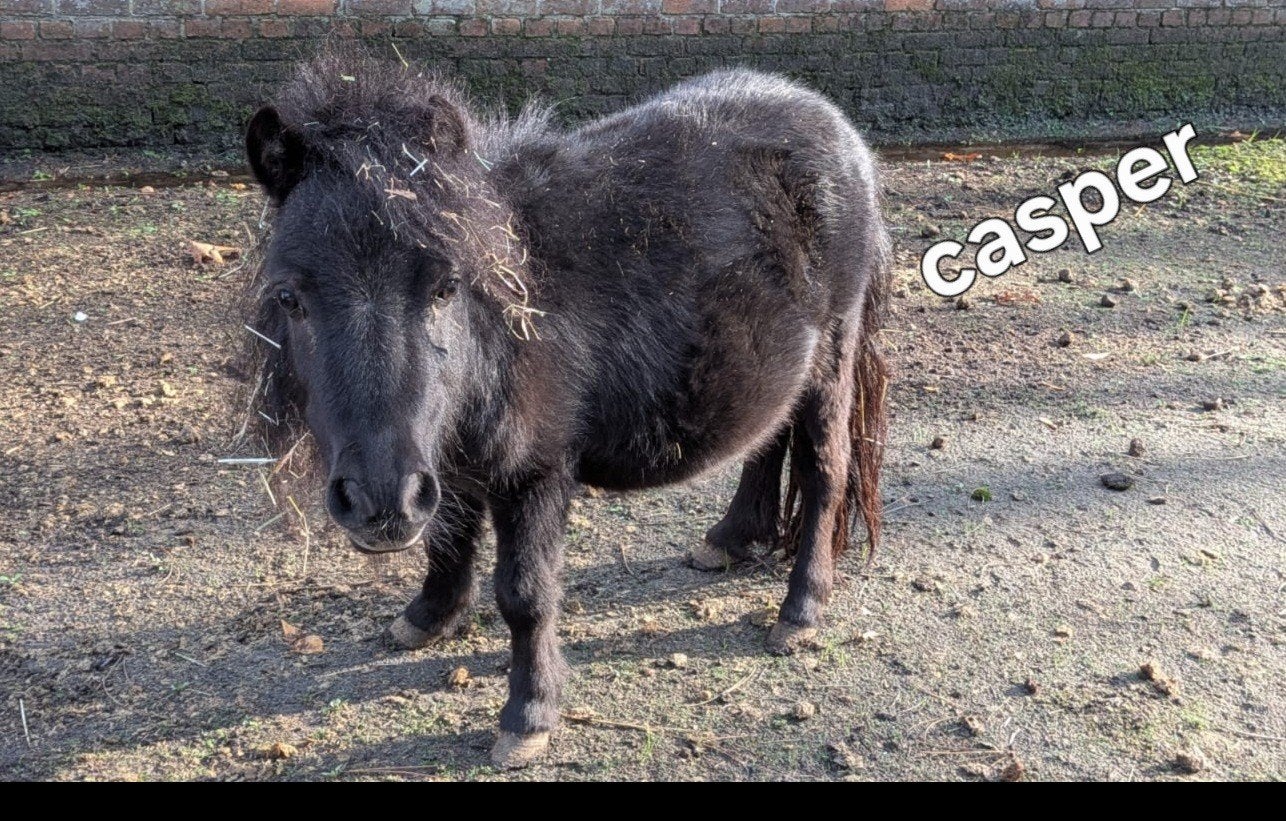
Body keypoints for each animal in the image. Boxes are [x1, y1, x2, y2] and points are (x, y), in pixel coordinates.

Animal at [242, 53, 891, 769]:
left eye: (445, 286)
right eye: (291, 298)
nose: (378, 502)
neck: (500, 326)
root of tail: (841, 133)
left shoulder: (535, 471)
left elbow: (524, 594)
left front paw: (528, 716)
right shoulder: (447, 460)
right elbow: (448, 538)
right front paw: (429, 617)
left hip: (833, 361)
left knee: (824, 471)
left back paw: (799, 613)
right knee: (766, 439)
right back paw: (730, 539)